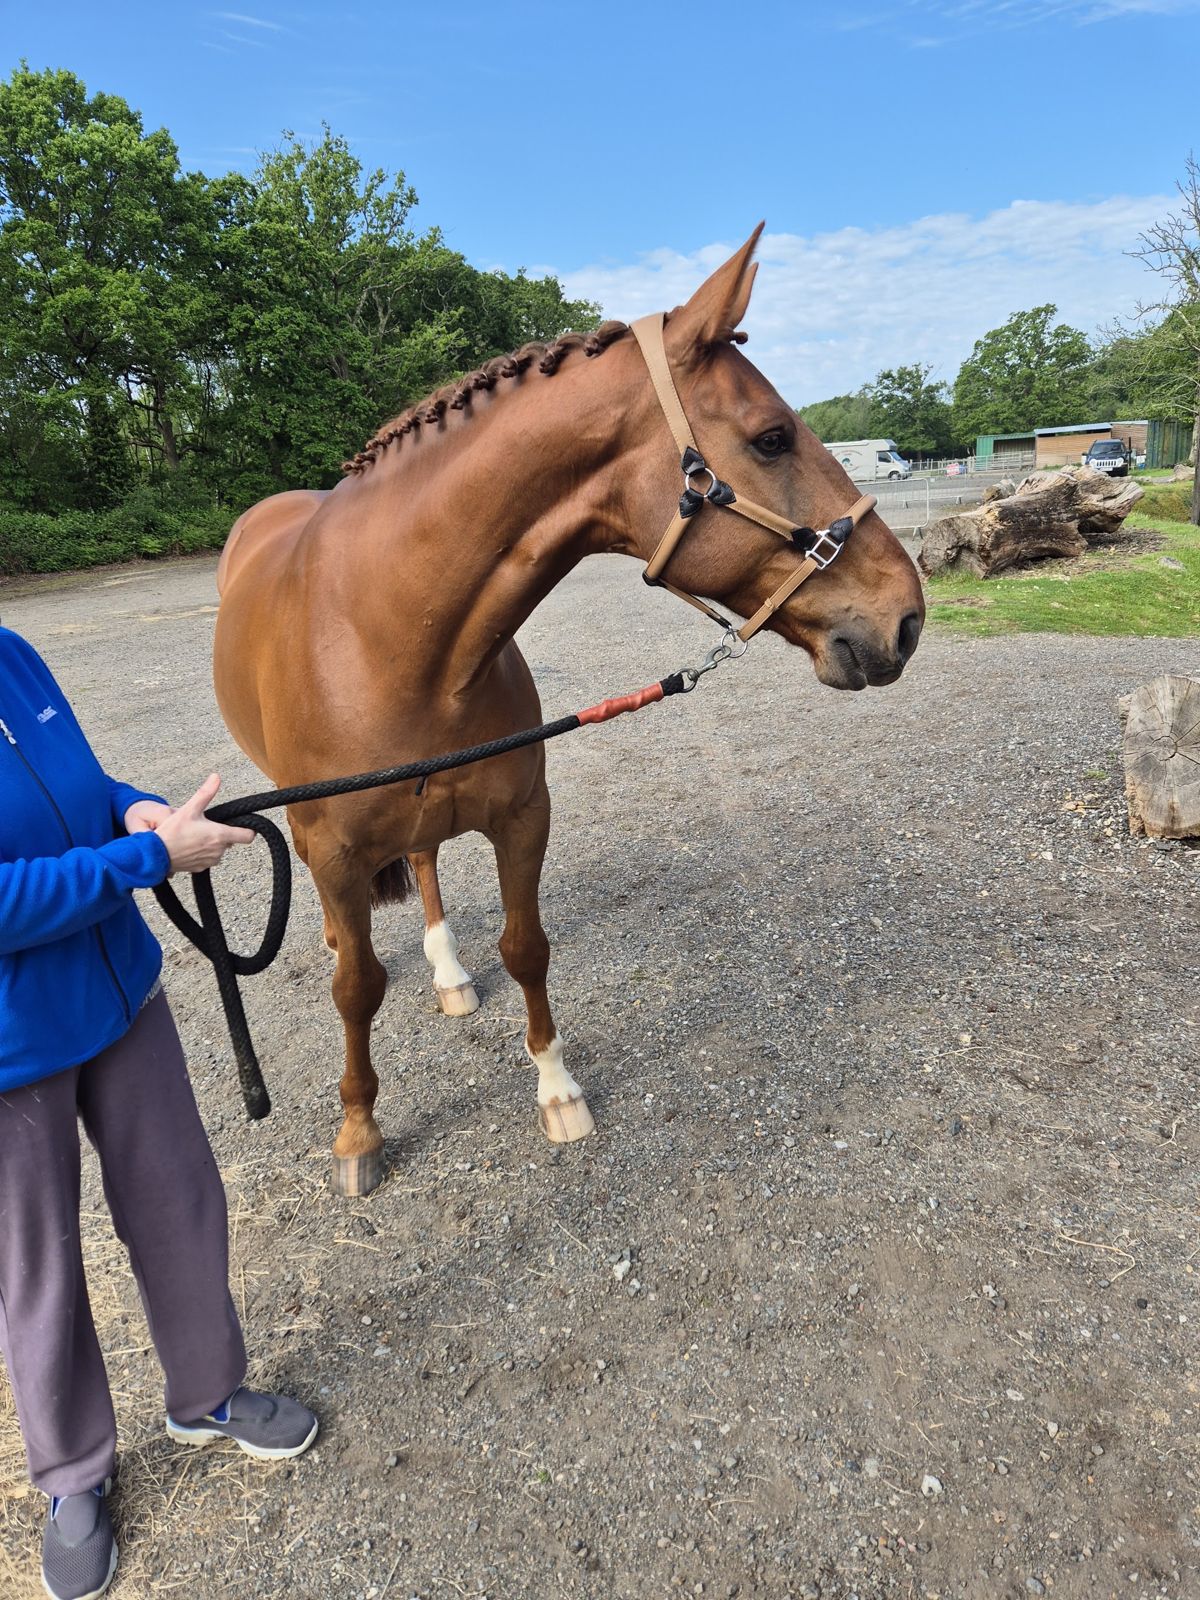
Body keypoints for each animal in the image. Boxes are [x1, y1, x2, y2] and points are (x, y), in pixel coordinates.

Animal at [212, 226, 925, 1196]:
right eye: (773, 437)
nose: (907, 617)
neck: (389, 637)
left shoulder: (522, 817)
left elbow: (527, 947)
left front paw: (556, 1089)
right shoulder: (335, 847)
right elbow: (356, 990)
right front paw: (358, 1131)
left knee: (426, 863)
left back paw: (448, 971)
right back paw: (334, 937)